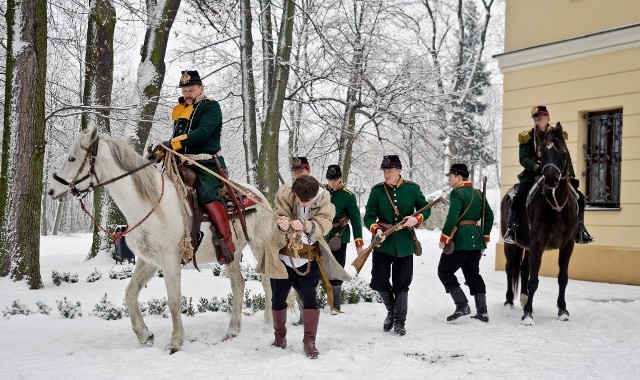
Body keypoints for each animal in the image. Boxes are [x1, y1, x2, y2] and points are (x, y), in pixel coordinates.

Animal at [47, 125, 272, 354]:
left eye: (72, 158)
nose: (51, 190)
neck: (151, 205)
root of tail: (257, 195)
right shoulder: (148, 261)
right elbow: (130, 294)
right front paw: (145, 335)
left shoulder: (169, 261)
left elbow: (173, 300)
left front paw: (175, 341)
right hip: (232, 254)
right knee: (238, 284)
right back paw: (233, 329)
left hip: (260, 246)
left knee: (267, 281)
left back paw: (268, 324)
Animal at [500, 123, 580, 326]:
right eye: (541, 152)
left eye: (563, 152)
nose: (551, 179)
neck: (556, 207)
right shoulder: (537, 243)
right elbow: (533, 279)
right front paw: (528, 315)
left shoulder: (567, 245)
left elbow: (562, 278)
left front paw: (562, 311)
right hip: (511, 244)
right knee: (510, 268)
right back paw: (509, 301)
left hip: (528, 246)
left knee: (523, 267)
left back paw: (524, 298)